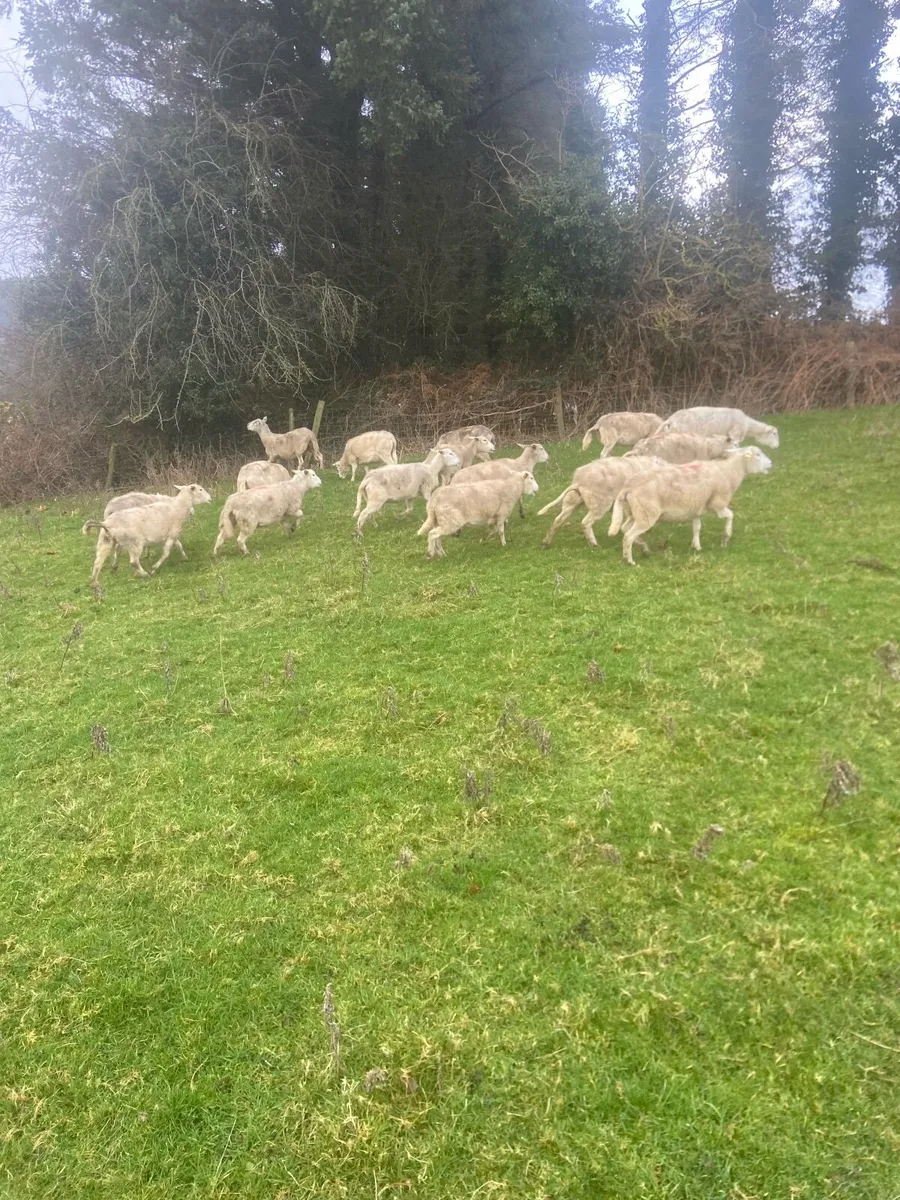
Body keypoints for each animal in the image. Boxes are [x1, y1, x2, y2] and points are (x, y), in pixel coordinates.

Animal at [82, 484, 212, 584]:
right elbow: (166, 553)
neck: (177, 506)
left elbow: (179, 546)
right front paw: (154, 568)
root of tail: (106, 523)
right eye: (200, 489)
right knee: (133, 561)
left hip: (105, 541)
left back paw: (96, 581)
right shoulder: (172, 535)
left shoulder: (171, 535)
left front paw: (184, 558)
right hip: (135, 543)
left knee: (98, 562)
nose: (210, 499)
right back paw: (144, 574)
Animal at [538, 455, 670, 547]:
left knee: (558, 520)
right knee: (585, 522)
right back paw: (594, 544)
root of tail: (579, 480)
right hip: (599, 502)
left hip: (573, 501)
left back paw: (546, 541)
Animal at [608, 446, 773, 565]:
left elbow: (696, 528)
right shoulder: (717, 504)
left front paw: (697, 546)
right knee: (628, 535)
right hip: (647, 514)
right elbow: (730, 516)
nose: (771, 463)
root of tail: (627, 487)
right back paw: (629, 560)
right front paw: (725, 538)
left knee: (624, 528)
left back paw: (643, 547)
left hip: (634, 512)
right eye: (758, 454)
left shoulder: (695, 509)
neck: (730, 472)